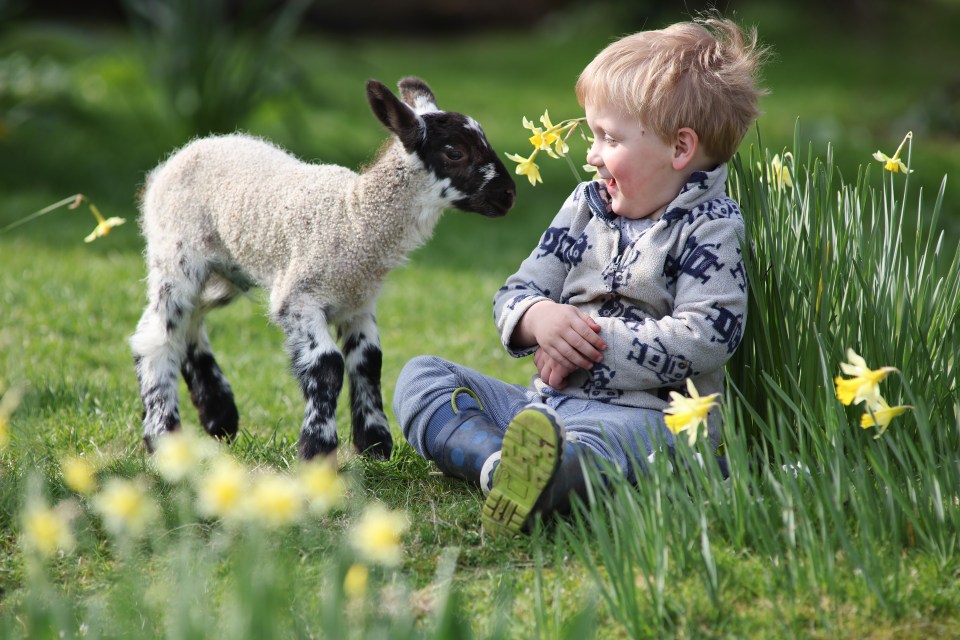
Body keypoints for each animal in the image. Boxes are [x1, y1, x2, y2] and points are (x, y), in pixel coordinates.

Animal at [133, 77, 516, 460]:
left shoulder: (358, 301)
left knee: (190, 320)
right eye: (455, 152)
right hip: (176, 253)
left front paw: (374, 444)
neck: (354, 216)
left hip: (226, 270)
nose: (509, 194)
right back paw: (162, 434)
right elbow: (327, 365)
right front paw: (317, 448)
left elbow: (369, 361)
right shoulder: (297, 299)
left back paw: (218, 414)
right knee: (156, 334)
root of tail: (186, 151)